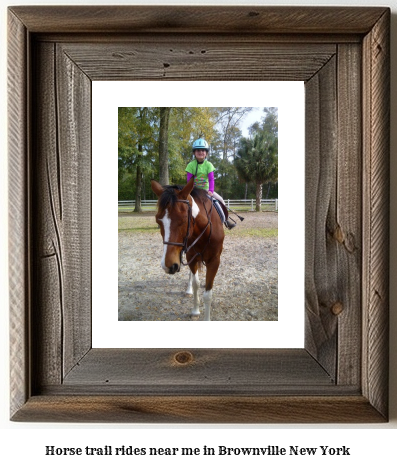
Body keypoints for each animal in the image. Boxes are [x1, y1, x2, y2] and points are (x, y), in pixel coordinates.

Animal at [150, 179, 223, 322]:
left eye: (184, 219)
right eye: (158, 221)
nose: (169, 266)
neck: (203, 230)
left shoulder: (214, 261)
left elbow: (208, 294)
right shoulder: (191, 257)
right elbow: (195, 284)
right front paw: (195, 310)